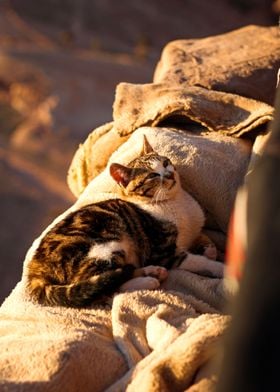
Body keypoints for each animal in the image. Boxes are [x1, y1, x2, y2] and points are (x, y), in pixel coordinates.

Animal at [26, 136, 219, 308]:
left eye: (165, 163)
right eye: (152, 176)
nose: (170, 174)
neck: (175, 201)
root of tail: (35, 270)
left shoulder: (194, 230)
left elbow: (204, 237)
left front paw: (209, 249)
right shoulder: (162, 252)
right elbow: (197, 261)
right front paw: (217, 266)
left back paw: (152, 271)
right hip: (106, 247)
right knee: (105, 291)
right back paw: (148, 281)